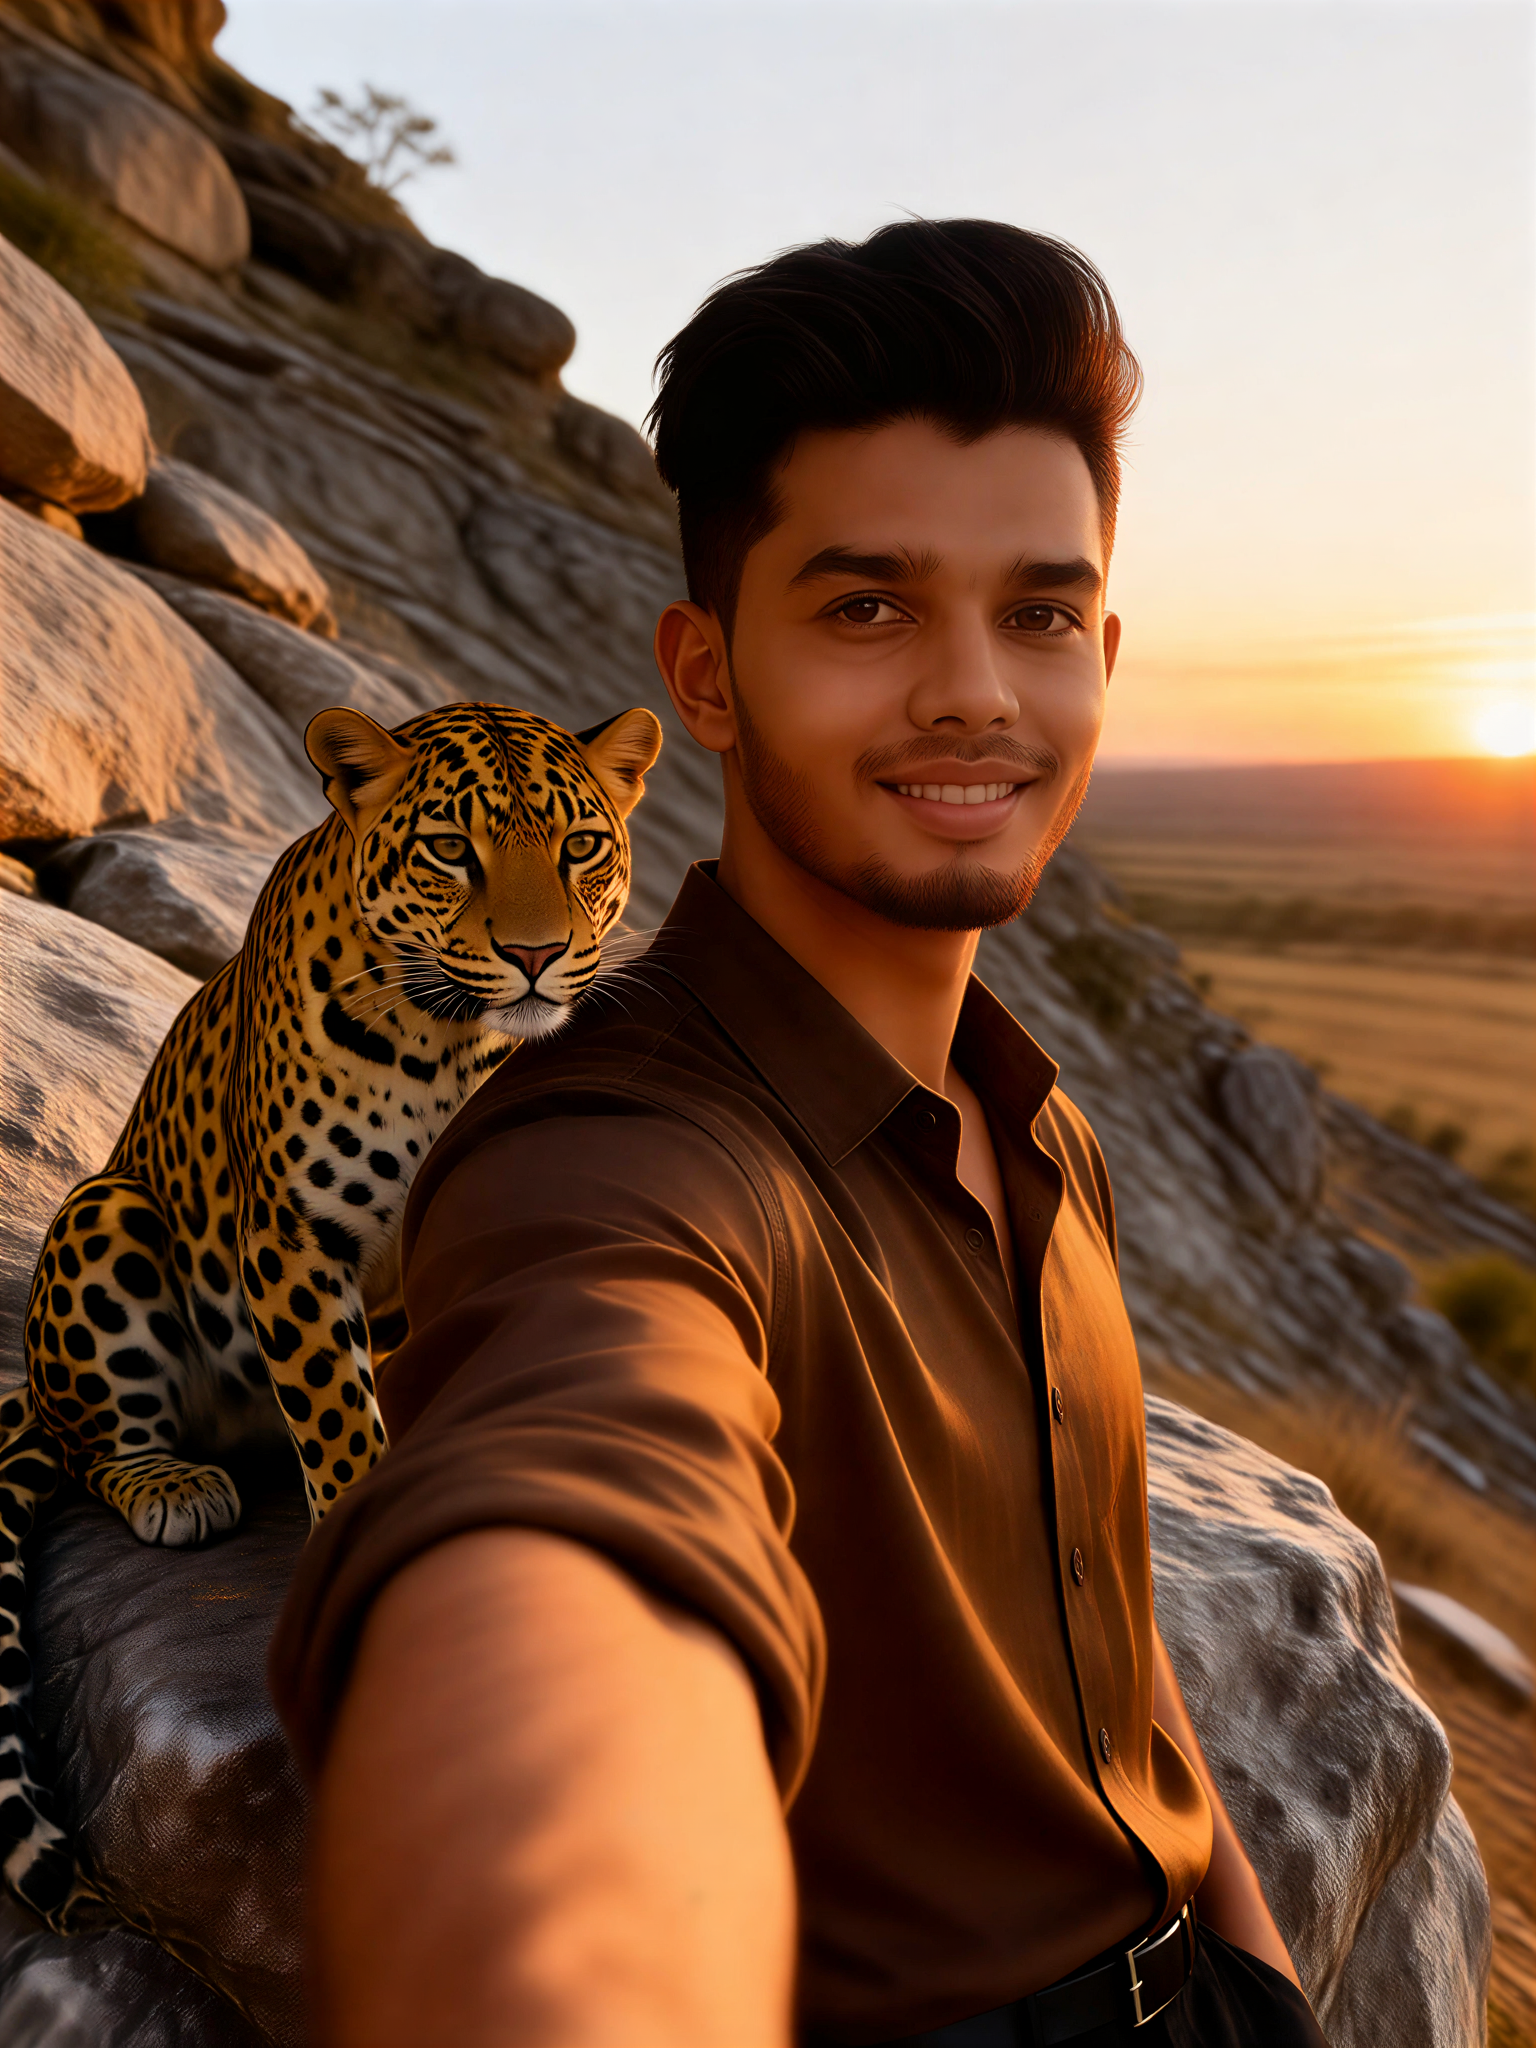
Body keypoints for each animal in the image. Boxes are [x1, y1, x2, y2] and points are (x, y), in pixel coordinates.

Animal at [0, 697, 662, 1929]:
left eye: (582, 847)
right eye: (451, 849)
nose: (536, 956)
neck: (461, 1046)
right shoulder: (296, 1236)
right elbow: (343, 1423)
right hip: (108, 1213)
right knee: (94, 1442)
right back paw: (173, 1485)